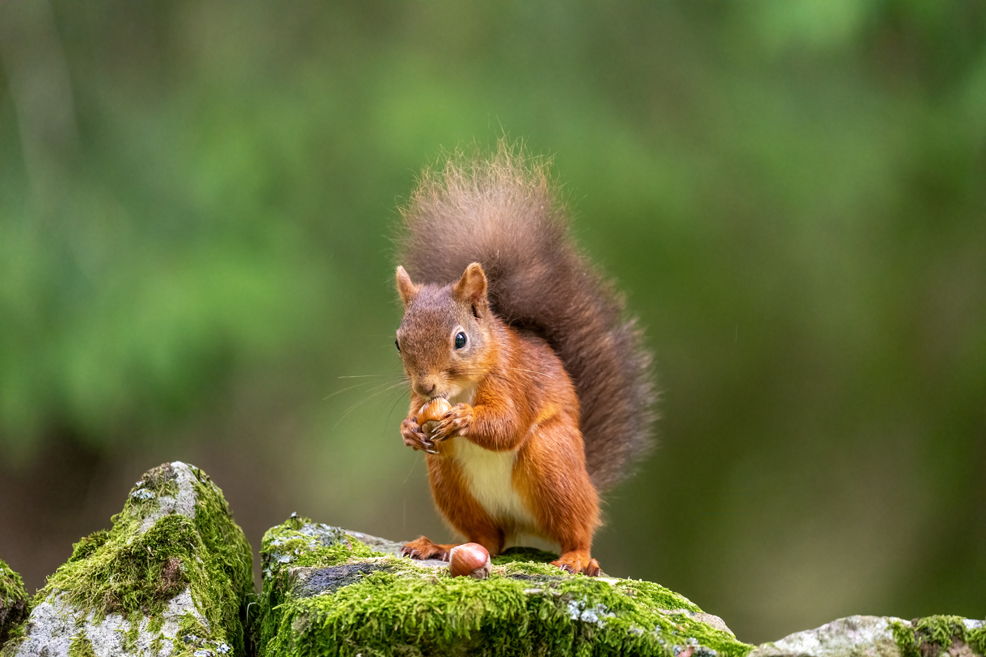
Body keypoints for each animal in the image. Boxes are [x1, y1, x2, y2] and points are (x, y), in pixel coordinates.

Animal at [393, 144, 655, 576]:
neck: (462, 388)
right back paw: (439, 546)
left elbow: (508, 424)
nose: (426, 385)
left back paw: (577, 557)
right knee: (488, 540)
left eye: (460, 339)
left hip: (552, 460)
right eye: (398, 342)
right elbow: (419, 419)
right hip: (450, 480)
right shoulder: (421, 403)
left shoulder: (514, 381)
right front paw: (409, 430)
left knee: (577, 528)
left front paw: (464, 419)